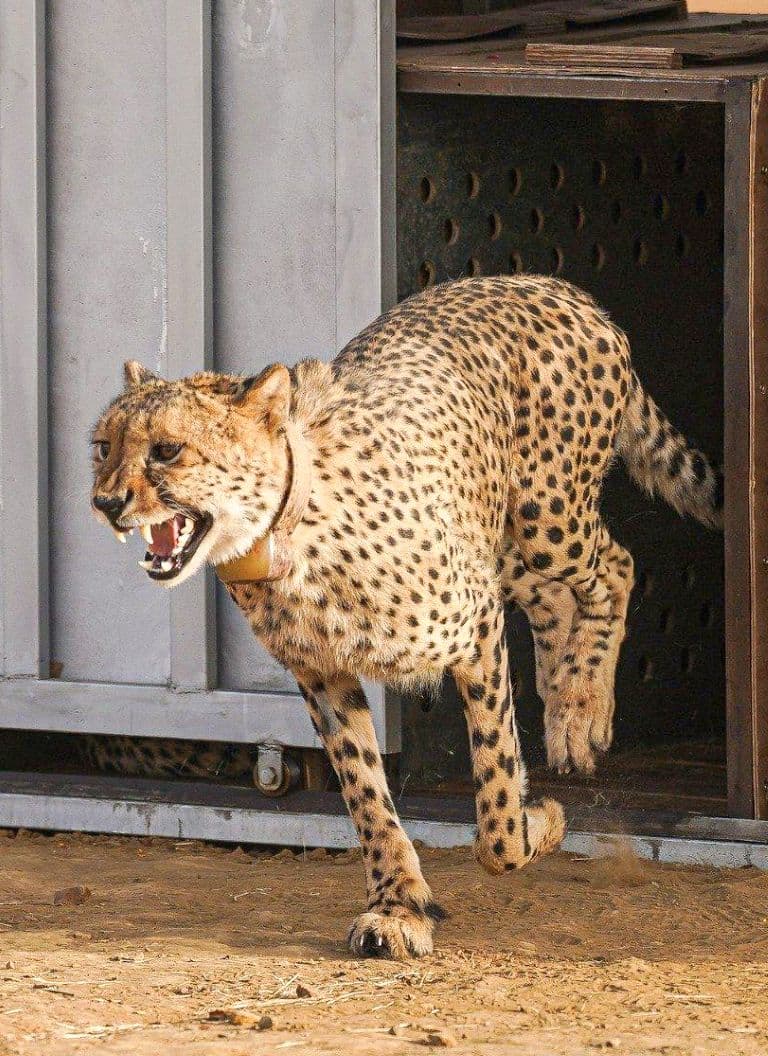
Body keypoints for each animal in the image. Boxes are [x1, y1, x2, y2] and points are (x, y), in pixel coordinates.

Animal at [90, 275, 722, 959]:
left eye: (167, 450)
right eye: (102, 447)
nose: (105, 502)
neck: (287, 532)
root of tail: (546, 284)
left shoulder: (476, 625)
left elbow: (497, 799)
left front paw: (539, 824)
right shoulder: (323, 674)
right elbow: (366, 795)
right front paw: (400, 906)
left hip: (549, 519)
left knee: (616, 566)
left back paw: (584, 710)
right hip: (501, 542)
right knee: (554, 598)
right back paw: (561, 706)